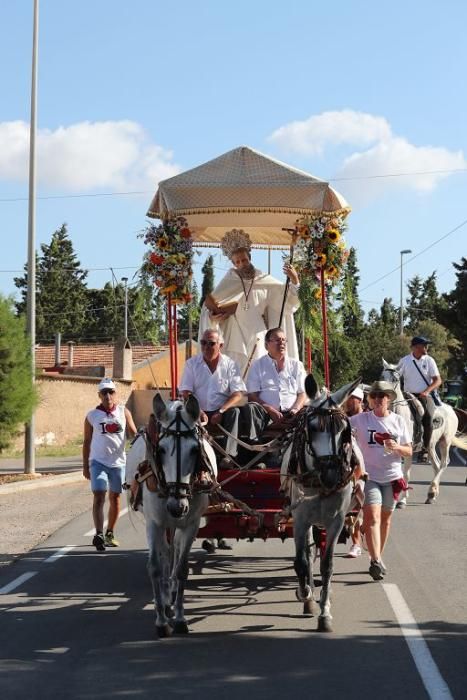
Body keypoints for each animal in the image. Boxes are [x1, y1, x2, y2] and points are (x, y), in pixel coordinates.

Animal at [126, 394, 218, 640]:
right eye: (161, 450)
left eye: (195, 450)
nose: (176, 507)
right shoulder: (154, 523)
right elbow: (156, 566)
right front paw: (161, 620)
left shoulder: (191, 523)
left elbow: (182, 568)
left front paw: (179, 618)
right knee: (166, 553)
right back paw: (167, 597)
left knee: (174, 550)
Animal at [282, 374, 362, 632]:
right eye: (313, 428)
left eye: (344, 430)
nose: (331, 474)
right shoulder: (299, 519)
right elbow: (300, 561)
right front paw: (305, 594)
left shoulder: (336, 521)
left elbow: (327, 566)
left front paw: (325, 613)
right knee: (307, 555)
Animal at [382, 360, 466, 504]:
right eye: (382, 376)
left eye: (394, 379)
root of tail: (451, 409)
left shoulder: (408, 449)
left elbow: (406, 473)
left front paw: (402, 500)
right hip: (430, 446)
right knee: (436, 465)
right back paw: (432, 494)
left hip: (444, 442)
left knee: (444, 463)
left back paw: (432, 492)